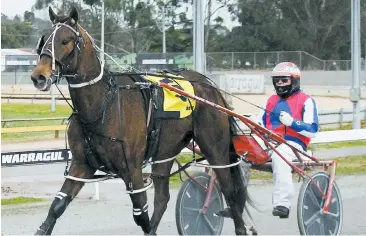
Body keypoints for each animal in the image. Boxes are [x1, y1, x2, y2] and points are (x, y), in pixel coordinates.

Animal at [30, 6, 254, 236]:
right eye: (44, 40)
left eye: (65, 40)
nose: (39, 76)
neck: (102, 104)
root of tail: (209, 86)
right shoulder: (82, 165)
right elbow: (57, 206)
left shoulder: (132, 169)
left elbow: (141, 214)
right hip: (165, 151)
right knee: (163, 197)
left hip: (215, 150)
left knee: (229, 190)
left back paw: (240, 227)